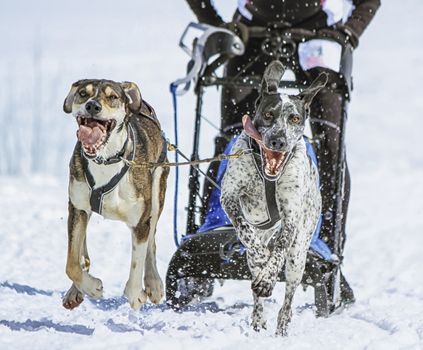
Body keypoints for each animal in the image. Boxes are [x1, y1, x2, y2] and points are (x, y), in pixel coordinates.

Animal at [63, 79, 169, 308]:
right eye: (83, 93)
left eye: (112, 97)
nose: (93, 106)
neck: (105, 160)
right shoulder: (78, 208)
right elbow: (72, 263)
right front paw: (91, 286)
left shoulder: (140, 222)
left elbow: (137, 264)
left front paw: (137, 295)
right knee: (81, 252)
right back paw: (75, 290)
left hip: (157, 196)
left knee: (152, 243)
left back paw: (154, 283)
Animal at [222, 60, 328, 336]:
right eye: (269, 114)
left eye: (295, 118)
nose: (278, 141)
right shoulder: (230, 197)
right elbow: (245, 232)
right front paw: (261, 258)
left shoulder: (290, 219)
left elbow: (279, 249)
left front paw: (268, 278)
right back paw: (258, 318)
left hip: (298, 255)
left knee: (288, 295)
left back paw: (281, 325)